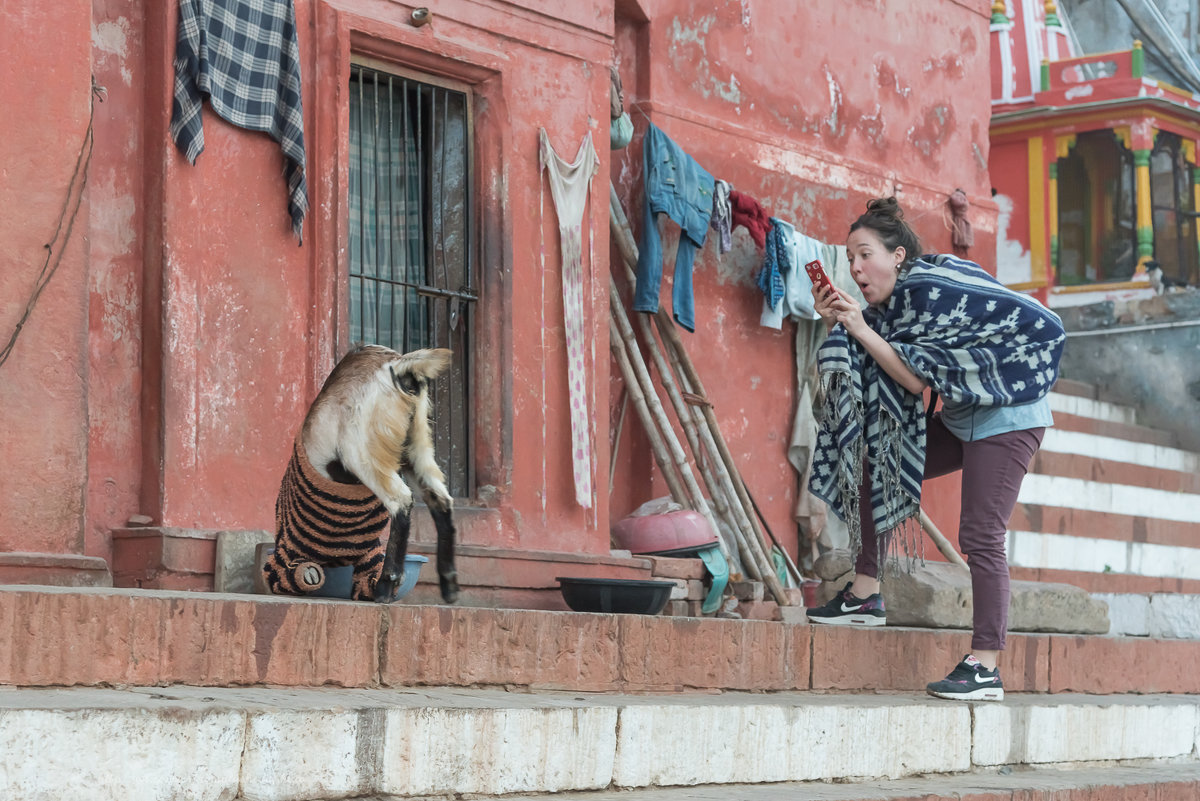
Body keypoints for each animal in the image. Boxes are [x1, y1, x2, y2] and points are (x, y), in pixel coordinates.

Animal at [264, 342, 458, 599]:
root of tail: (397, 365)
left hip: (362, 452)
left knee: (401, 500)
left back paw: (386, 585)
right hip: (416, 447)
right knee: (440, 500)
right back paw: (449, 585)